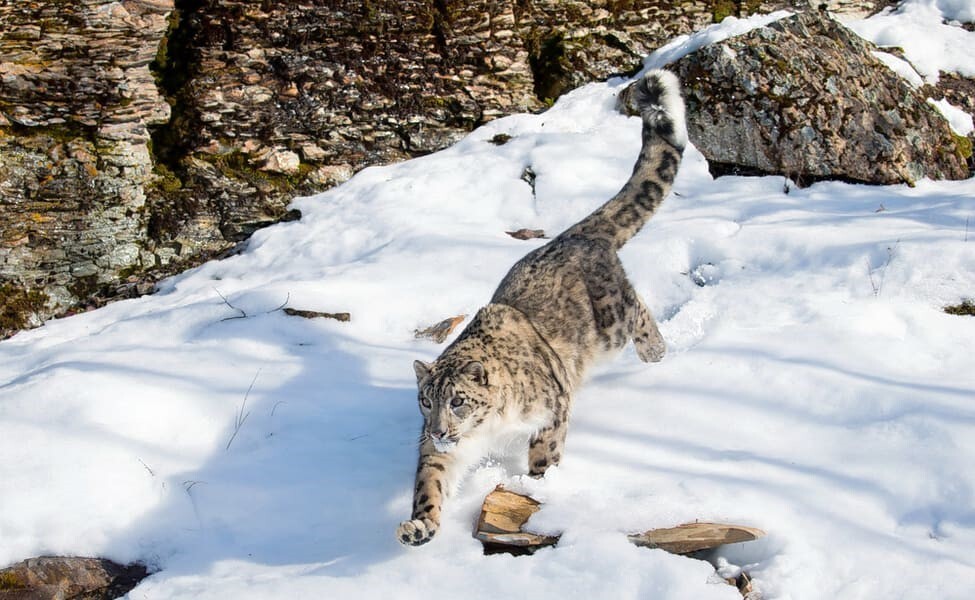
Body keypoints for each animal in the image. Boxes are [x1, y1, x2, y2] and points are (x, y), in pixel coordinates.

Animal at [396, 69, 688, 544]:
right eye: (425, 400)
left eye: (458, 400)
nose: (439, 430)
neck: (490, 429)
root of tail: (573, 235)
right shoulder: (441, 452)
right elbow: (431, 482)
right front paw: (420, 526)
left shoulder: (553, 408)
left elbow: (545, 452)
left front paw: (536, 487)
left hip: (612, 323)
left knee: (638, 308)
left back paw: (656, 354)